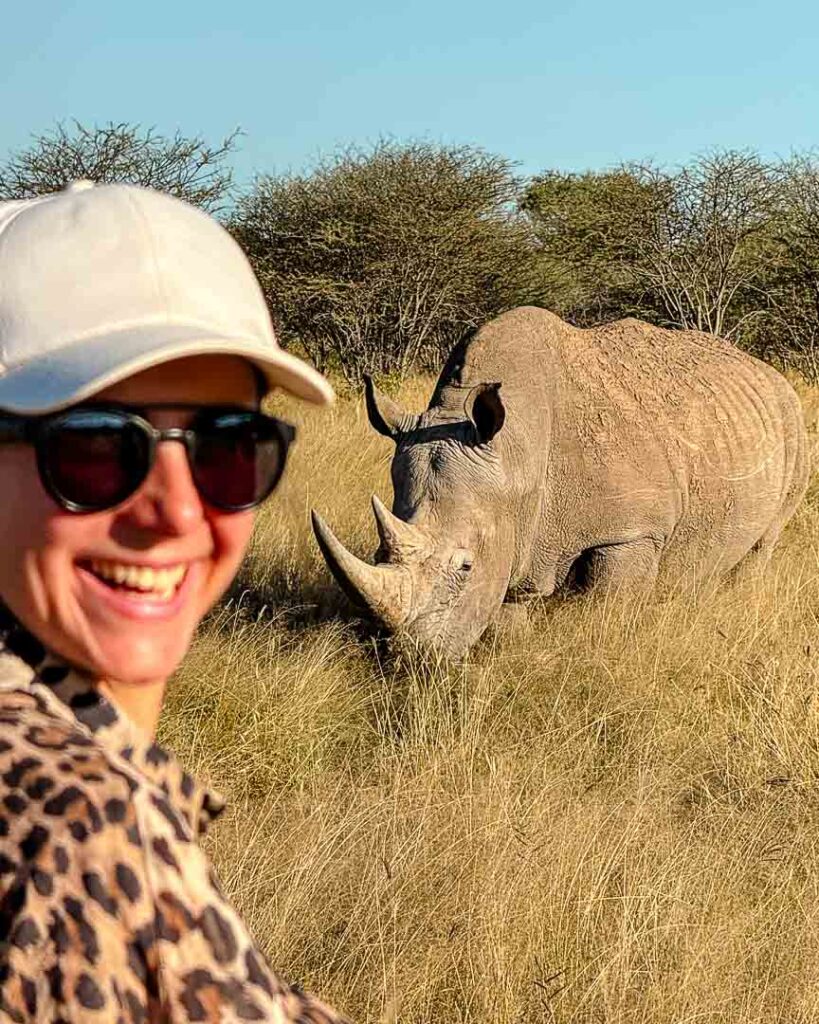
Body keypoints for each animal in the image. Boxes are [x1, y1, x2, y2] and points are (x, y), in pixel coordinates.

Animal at [311, 307, 810, 658]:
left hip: (794, 424)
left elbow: (607, 610)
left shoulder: (633, 531)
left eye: (466, 566)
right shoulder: (516, 525)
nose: (411, 658)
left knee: (765, 540)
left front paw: (603, 652)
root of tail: (767, 371)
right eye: (379, 552)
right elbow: (507, 612)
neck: (516, 453)